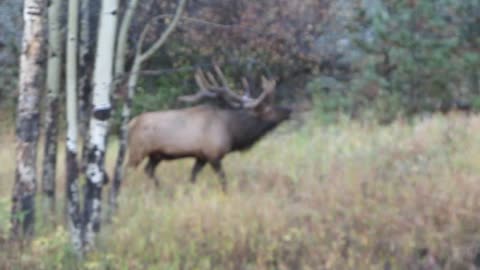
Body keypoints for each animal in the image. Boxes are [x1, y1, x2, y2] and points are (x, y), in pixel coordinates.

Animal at [127, 65, 290, 192]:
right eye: (269, 109)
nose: (289, 110)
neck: (232, 132)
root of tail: (131, 124)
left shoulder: (201, 156)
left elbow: (192, 177)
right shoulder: (213, 154)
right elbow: (223, 180)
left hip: (156, 155)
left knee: (148, 170)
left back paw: (160, 188)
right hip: (137, 151)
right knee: (128, 170)